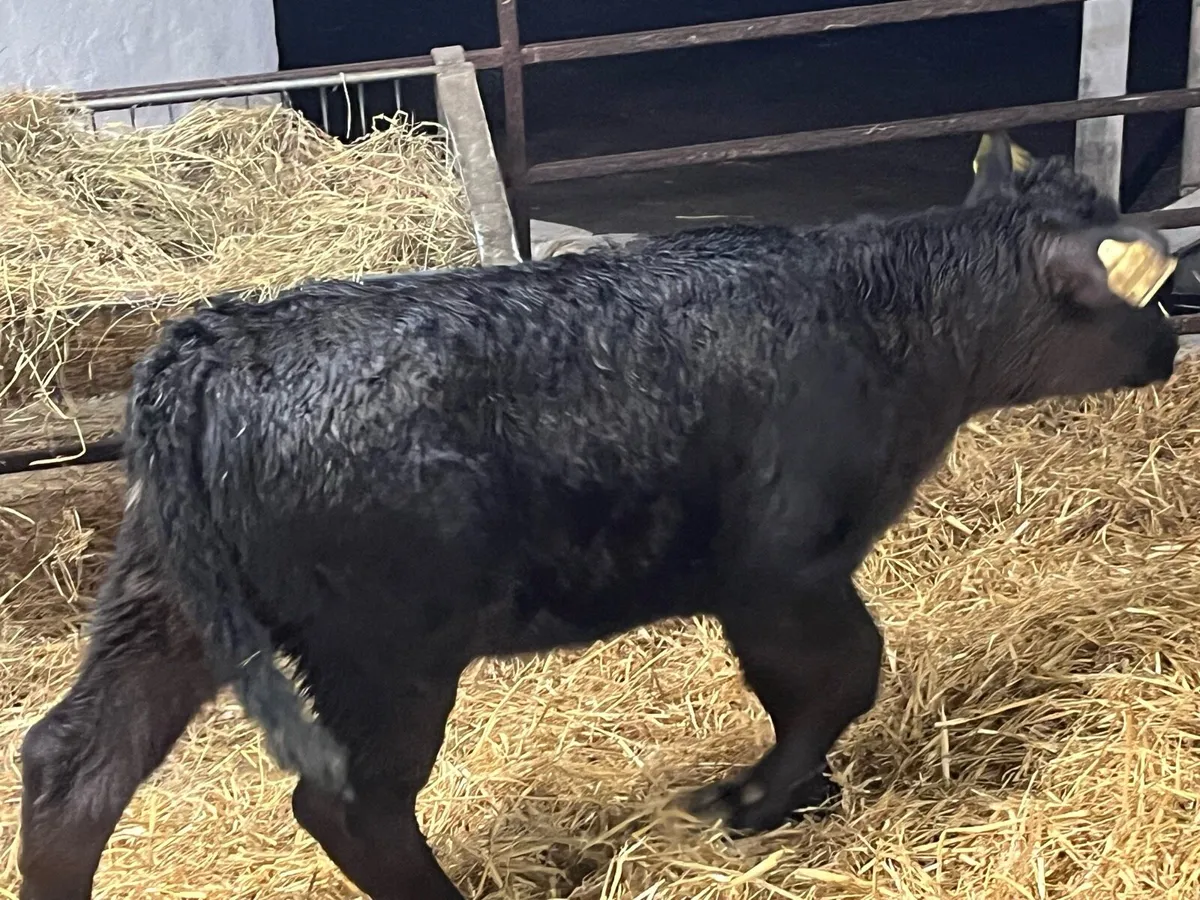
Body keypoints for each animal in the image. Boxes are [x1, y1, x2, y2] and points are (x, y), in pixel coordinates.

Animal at [18, 132, 1179, 900]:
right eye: (1139, 286)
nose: (1172, 343)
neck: (887, 315)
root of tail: (218, 339)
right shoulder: (784, 570)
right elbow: (839, 676)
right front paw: (751, 802)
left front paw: (793, 797)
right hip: (385, 650)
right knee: (349, 802)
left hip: (164, 606)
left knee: (74, 764)